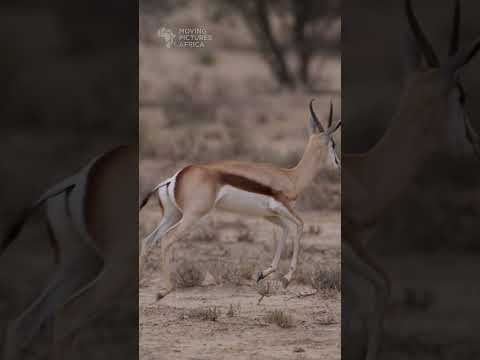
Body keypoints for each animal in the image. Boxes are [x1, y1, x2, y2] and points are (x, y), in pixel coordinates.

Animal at [140, 100, 342, 298]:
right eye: (333, 144)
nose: (338, 164)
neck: (291, 177)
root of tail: (175, 177)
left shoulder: (270, 215)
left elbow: (285, 230)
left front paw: (263, 273)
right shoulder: (282, 207)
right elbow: (300, 225)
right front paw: (286, 279)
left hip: (172, 215)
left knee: (148, 240)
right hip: (192, 216)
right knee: (166, 239)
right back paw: (164, 291)